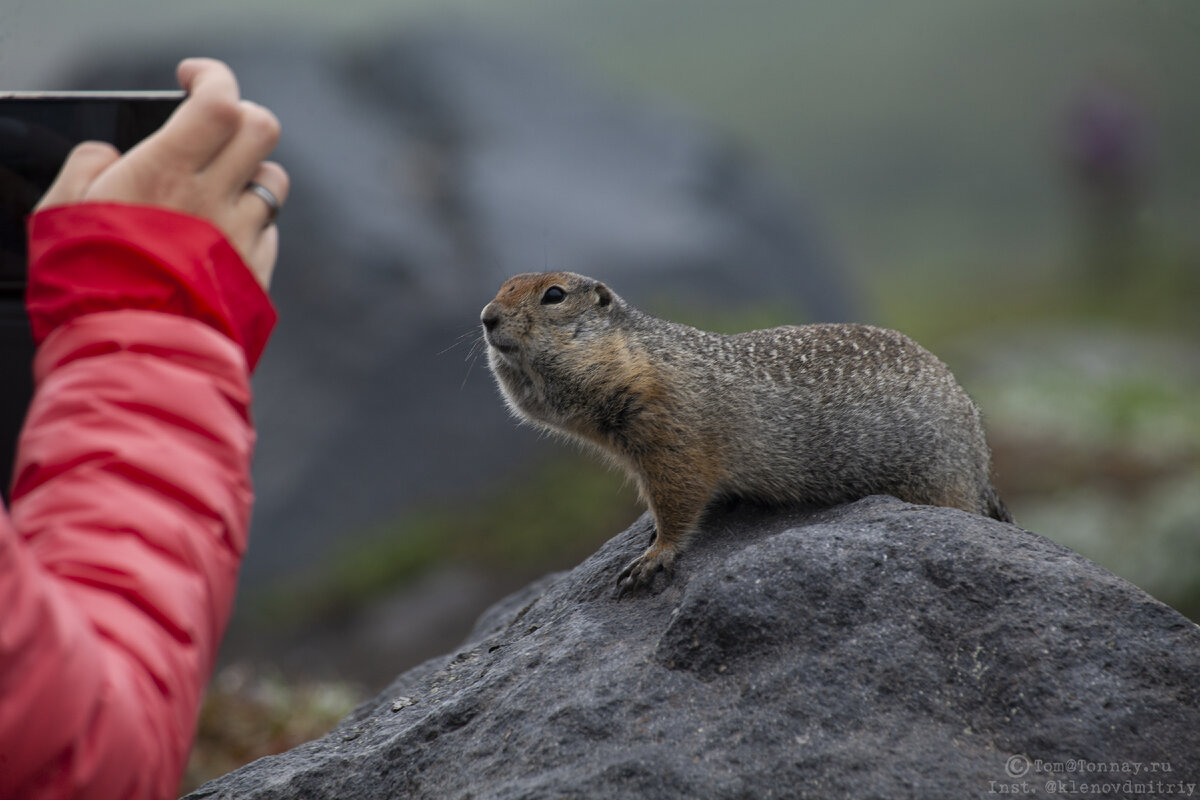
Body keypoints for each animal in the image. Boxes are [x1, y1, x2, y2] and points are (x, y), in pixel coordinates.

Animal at [480, 272, 1012, 592]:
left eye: (554, 295)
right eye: (502, 287)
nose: (486, 317)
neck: (637, 357)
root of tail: (980, 464)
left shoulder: (673, 428)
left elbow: (681, 493)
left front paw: (653, 555)